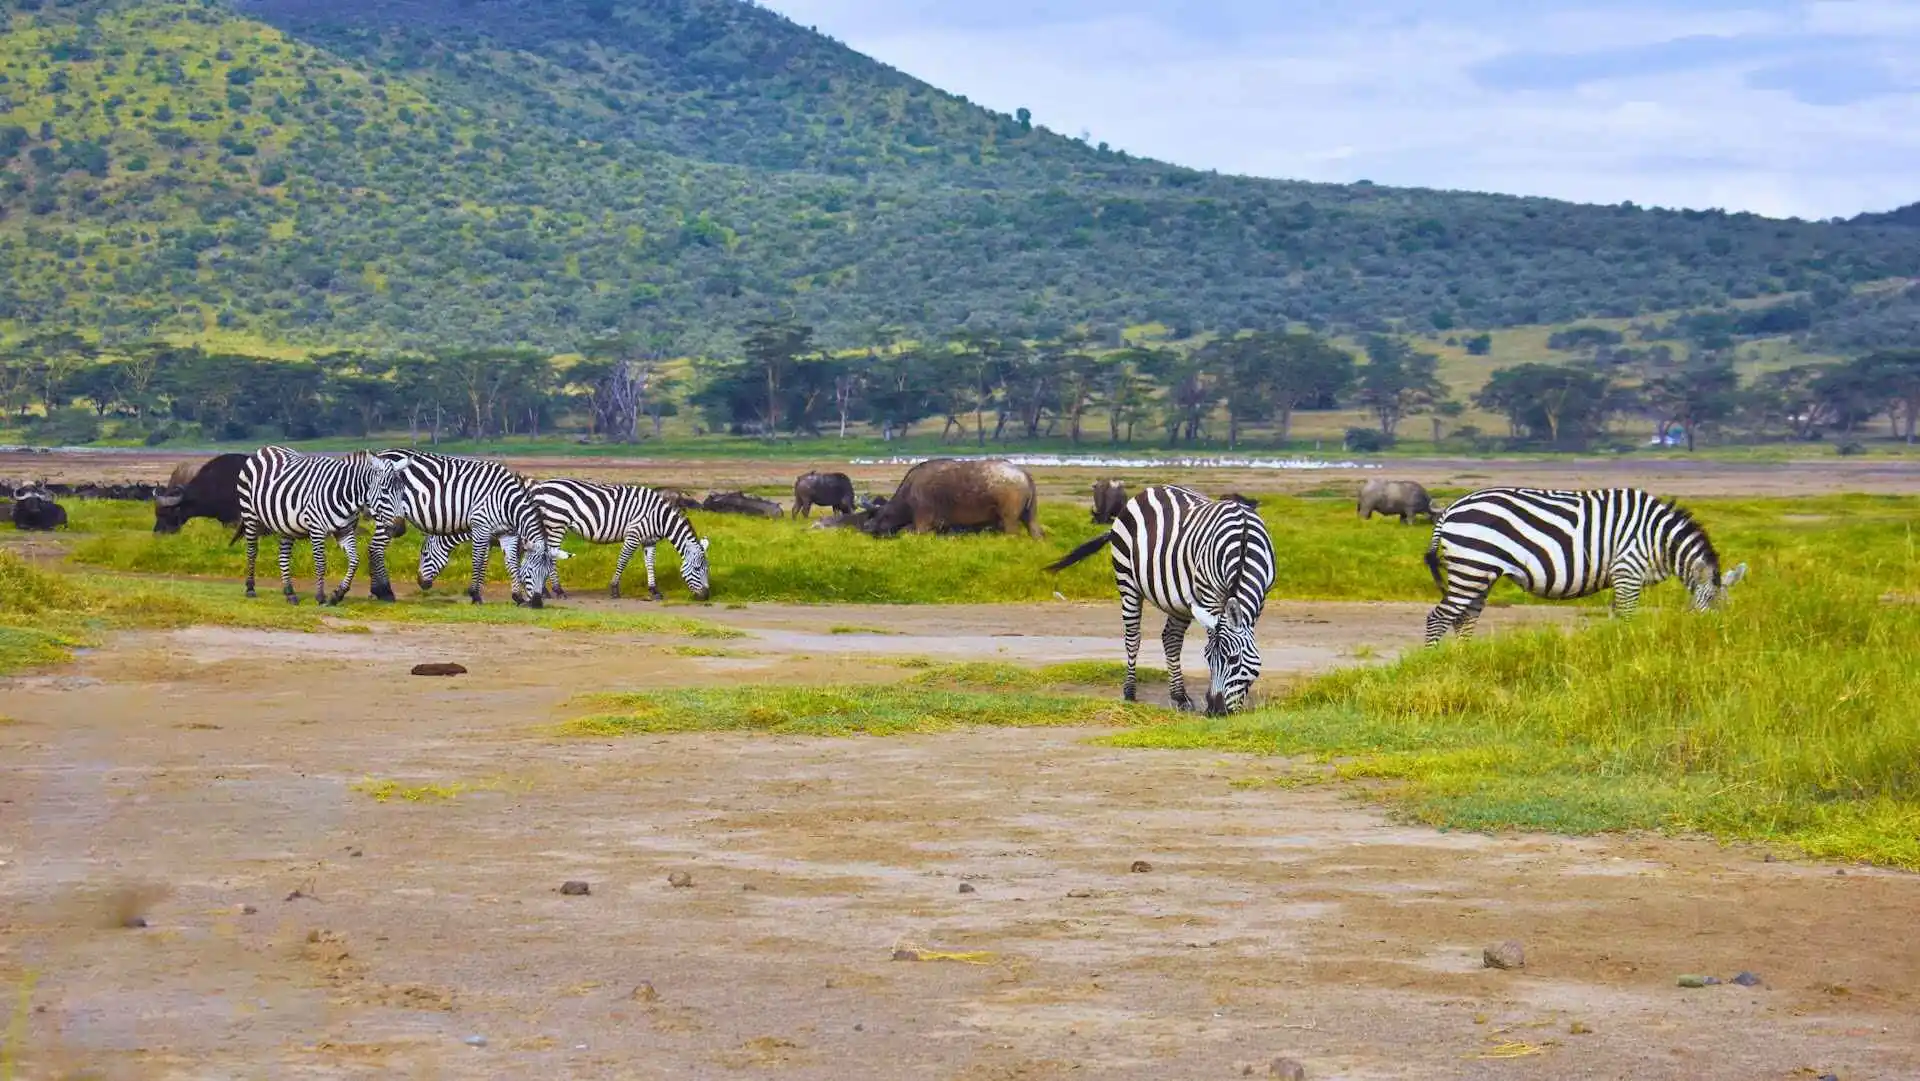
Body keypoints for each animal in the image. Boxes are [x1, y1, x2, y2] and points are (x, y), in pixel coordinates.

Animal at [236, 443, 401, 606]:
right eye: (385, 491)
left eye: (402, 492)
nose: (399, 528)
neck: (343, 494)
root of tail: (265, 449)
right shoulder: (316, 529)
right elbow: (321, 563)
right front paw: (321, 597)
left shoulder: (344, 530)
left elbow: (355, 561)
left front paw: (338, 594)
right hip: (249, 514)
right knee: (252, 551)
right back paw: (250, 588)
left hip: (286, 525)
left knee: (283, 556)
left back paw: (290, 593)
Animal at [366, 449, 560, 610]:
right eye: (531, 571)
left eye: (545, 575)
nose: (537, 603)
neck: (506, 501)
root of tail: (382, 453)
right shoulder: (481, 528)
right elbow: (479, 562)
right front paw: (475, 595)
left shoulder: (507, 534)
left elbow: (511, 563)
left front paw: (518, 597)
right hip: (387, 515)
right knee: (376, 548)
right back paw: (384, 592)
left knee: (374, 547)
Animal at [867, 458, 1044, 537]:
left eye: (879, 515)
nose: (868, 528)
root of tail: (1023, 474)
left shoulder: (921, 523)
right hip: (1030, 516)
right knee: (1037, 532)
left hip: (1009, 520)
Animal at [1052, 485, 1274, 714]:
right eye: (1207, 658)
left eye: (1233, 659)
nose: (1215, 710)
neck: (1243, 543)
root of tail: (1148, 490)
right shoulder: (1209, 594)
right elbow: (1213, 636)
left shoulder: (1262, 596)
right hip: (1127, 579)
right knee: (1133, 637)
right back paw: (1130, 692)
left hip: (1179, 598)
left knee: (1171, 639)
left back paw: (1180, 697)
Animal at [1420, 481, 1751, 641]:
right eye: (1709, 604)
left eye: (1727, 609)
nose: (1716, 637)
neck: (1659, 539)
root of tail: (1449, 510)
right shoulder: (1628, 571)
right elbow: (1627, 618)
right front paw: (1628, 652)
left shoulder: (1622, 578)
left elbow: (1617, 618)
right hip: (1472, 567)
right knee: (1439, 617)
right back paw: (1438, 662)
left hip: (1479, 572)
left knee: (1464, 618)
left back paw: (1464, 662)